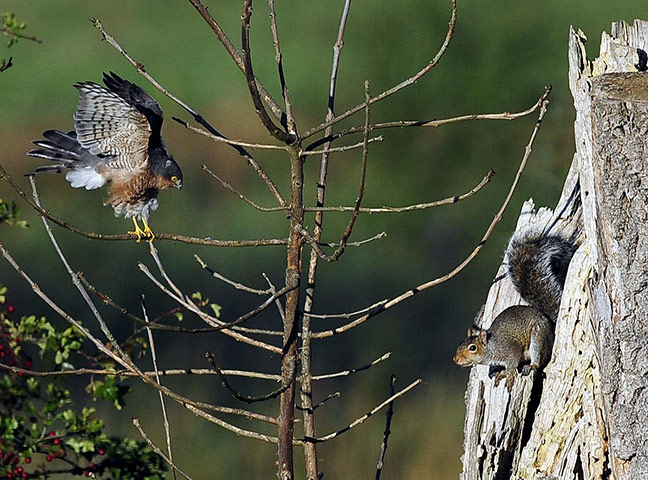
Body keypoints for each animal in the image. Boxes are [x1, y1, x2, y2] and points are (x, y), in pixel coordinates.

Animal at [453, 233, 578, 389]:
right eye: (461, 344)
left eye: (472, 348)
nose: (455, 359)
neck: (492, 346)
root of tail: (551, 326)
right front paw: (501, 372)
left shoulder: (510, 349)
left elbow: (512, 362)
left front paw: (509, 374)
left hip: (538, 337)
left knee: (539, 359)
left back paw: (531, 366)